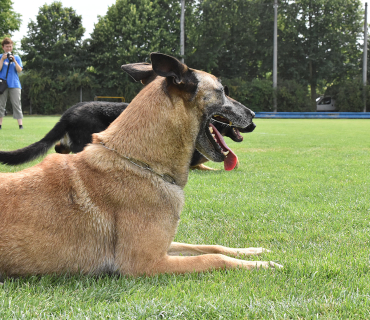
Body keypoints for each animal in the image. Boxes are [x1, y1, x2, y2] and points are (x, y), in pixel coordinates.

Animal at [0, 52, 280, 278]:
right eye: (222, 91)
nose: (253, 115)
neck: (140, 162)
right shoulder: (146, 263)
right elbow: (214, 258)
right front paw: (263, 265)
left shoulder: (164, 247)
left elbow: (209, 246)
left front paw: (252, 251)